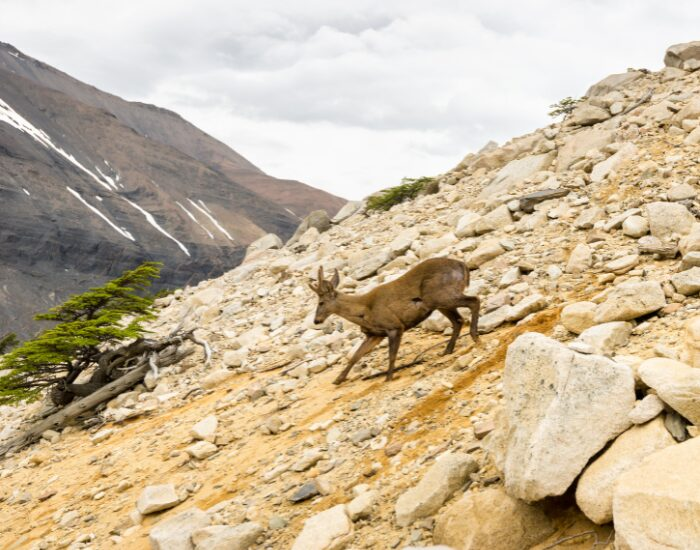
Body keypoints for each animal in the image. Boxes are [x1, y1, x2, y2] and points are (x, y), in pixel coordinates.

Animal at [308, 258, 480, 384]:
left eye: (321, 302)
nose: (316, 321)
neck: (364, 311)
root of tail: (462, 265)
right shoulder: (374, 335)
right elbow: (355, 356)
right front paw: (338, 379)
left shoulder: (394, 326)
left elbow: (392, 354)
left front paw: (388, 377)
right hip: (438, 302)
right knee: (458, 320)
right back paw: (447, 350)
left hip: (441, 295)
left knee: (474, 301)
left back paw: (475, 337)